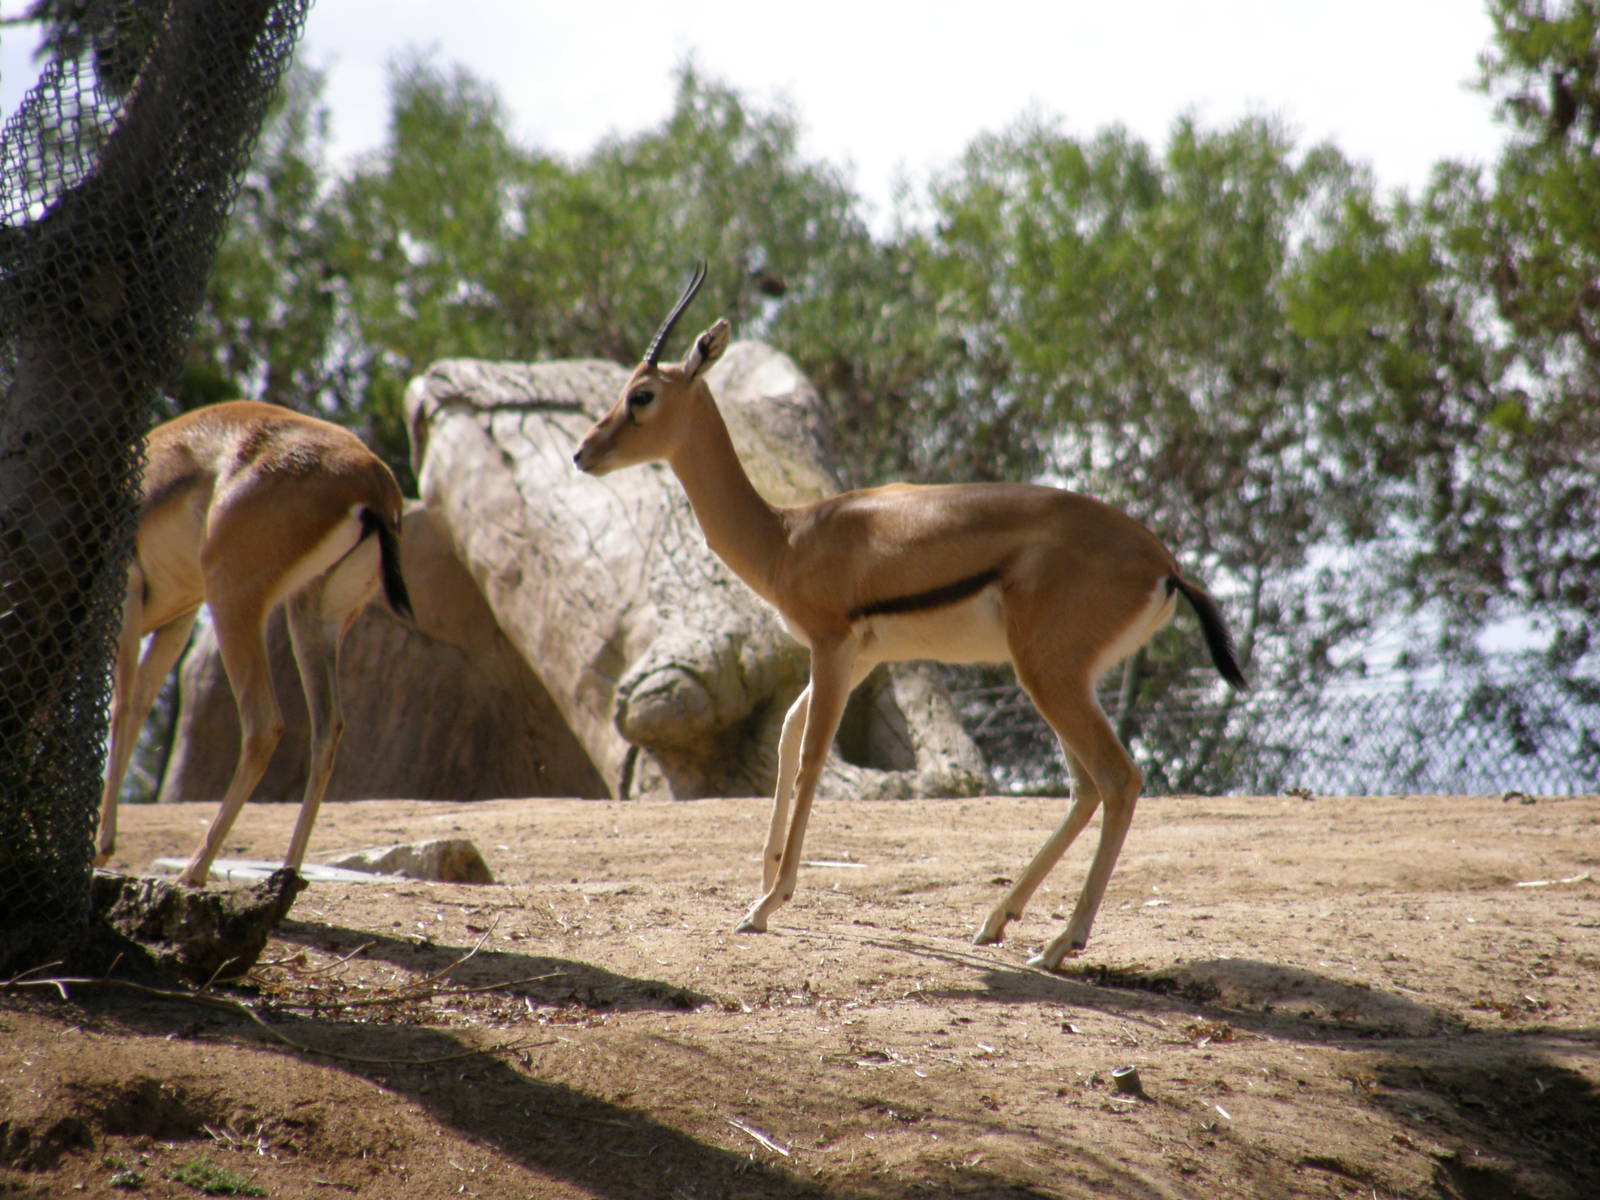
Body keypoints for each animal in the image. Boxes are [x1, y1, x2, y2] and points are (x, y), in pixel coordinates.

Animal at [97, 400, 413, 886]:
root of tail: (374, 484)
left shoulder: (129, 598)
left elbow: (122, 706)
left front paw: (100, 846)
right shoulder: (179, 621)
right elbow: (139, 705)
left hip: (232, 598)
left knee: (265, 725)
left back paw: (194, 871)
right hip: (313, 615)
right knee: (328, 728)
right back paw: (286, 874)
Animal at [573, 265, 1245, 968]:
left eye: (642, 395)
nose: (583, 453)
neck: (789, 536)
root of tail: (1163, 563)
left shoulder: (833, 647)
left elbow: (812, 756)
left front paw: (766, 905)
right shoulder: (861, 658)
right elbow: (786, 734)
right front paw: (762, 882)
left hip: (1050, 676)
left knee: (1117, 779)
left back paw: (1059, 944)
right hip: (1062, 680)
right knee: (1085, 787)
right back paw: (996, 921)